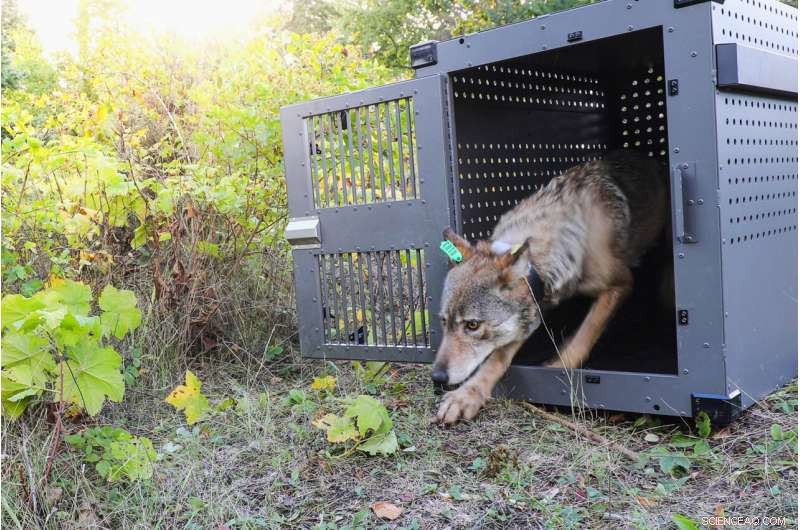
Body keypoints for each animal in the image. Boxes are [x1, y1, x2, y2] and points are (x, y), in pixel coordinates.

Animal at [432, 150, 667, 424]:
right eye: (444, 322)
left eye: (472, 325)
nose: (436, 377)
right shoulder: (533, 308)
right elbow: (497, 357)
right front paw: (467, 395)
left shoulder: (620, 284)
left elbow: (585, 334)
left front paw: (557, 368)